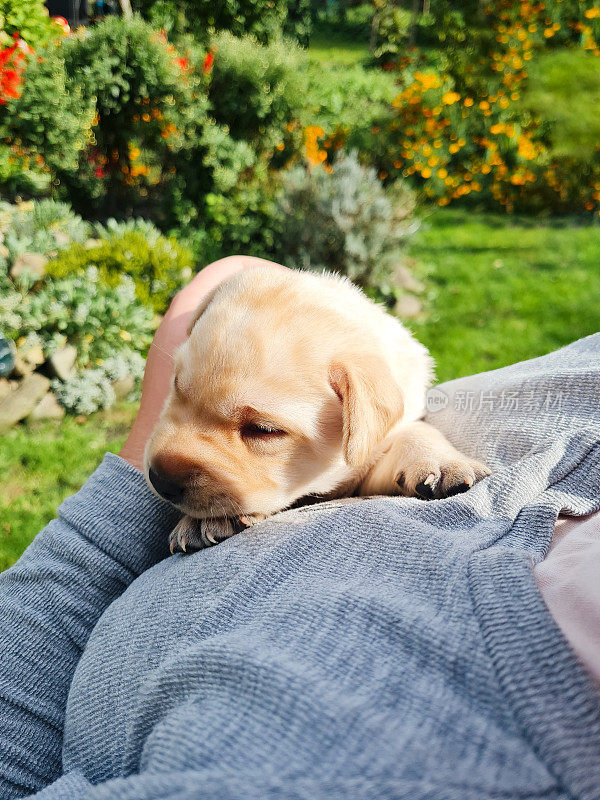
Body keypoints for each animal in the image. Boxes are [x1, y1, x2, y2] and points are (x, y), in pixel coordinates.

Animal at [146, 268, 492, 552]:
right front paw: (197, 521)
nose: (160, 479)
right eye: (177, 386)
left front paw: (441, 461)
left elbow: (416, 431)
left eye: (263, 430)